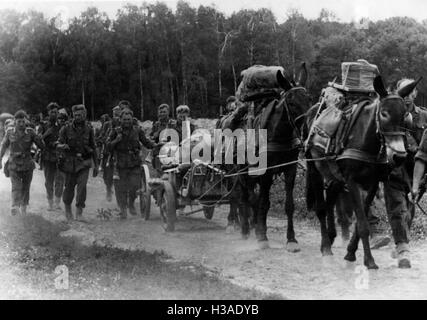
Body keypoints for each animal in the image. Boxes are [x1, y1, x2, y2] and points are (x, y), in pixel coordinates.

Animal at [226, 62, 312, 251]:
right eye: (291, 102)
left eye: (309, 99)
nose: (307, 130)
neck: (278, 134)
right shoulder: (265, 172)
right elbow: (264, 203)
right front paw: (262, 237)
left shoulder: (290, 169)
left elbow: (289, 205)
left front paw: (291, 239)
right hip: (241, 173)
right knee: (244, 197)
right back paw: (245, 228)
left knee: (251, 198)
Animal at [306, 76, 420, 268]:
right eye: (384, 113)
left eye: (405, 116)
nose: (399, 156)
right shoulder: (352, 182)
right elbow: (363, 224)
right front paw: (369, 261)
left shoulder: (373, 183)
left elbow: (361, 223)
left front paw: (350, 253)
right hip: (314, 167)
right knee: (321, 208)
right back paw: (326, 248)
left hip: (335, 176)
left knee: (330, 202)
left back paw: (331, 237)